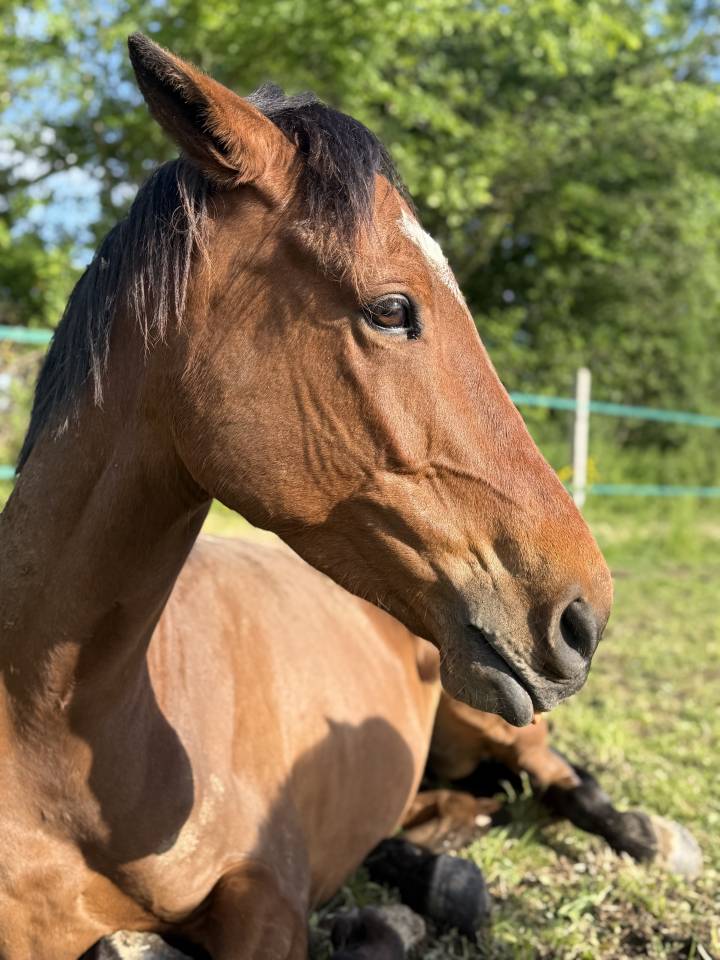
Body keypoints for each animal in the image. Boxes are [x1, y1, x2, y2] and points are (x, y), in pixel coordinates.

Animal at [0, 33, 612, 959]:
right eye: (392, 309)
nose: (584, 616)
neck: (54, 741)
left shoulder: (269, 900)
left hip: (498, 720)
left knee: (562, 783)